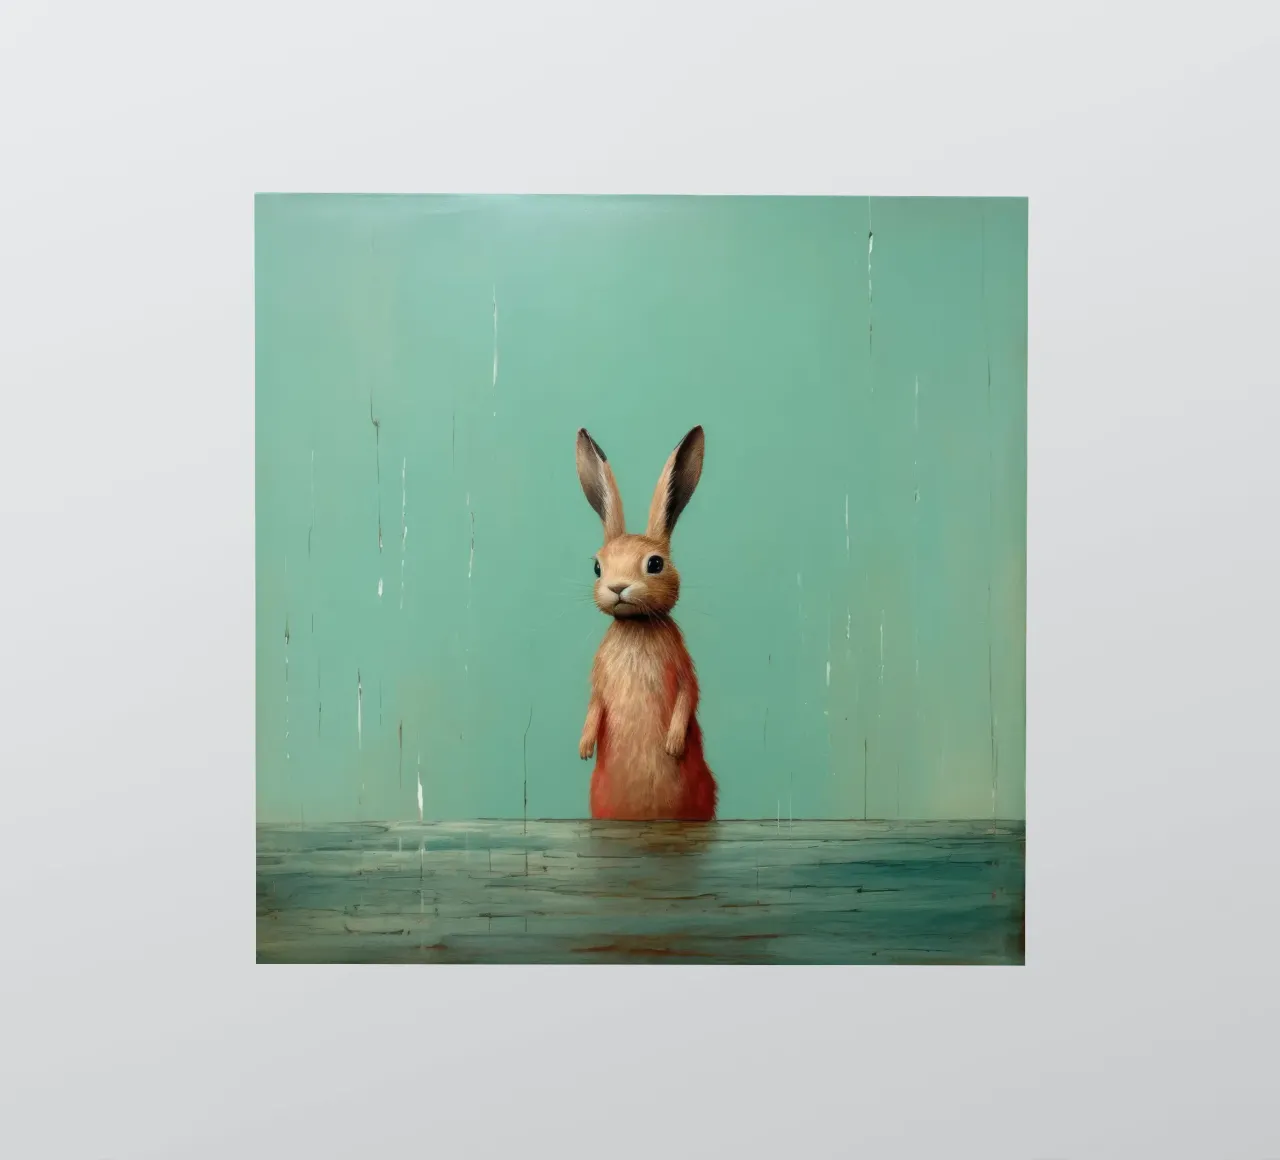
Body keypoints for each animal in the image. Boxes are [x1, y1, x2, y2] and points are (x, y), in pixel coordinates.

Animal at [574, 425, 718, 822]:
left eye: (655, 564)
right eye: (597, 567)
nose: (617, 587)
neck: (636, 625)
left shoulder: (684, 669)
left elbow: (688, 696)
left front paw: (672, 746)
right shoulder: (598, 681)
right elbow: (594, 705)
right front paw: (584, 747)